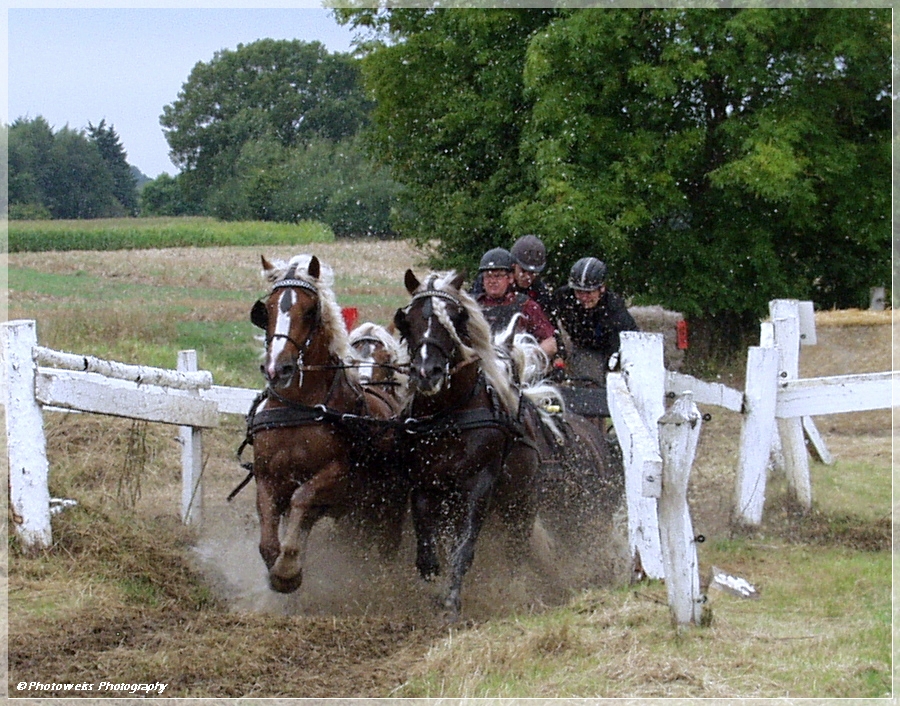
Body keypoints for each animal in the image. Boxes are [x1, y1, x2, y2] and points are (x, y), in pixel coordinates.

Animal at [244, 253, 402, 588]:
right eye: (269, 309)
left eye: (309, 310)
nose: (278, 368)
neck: (299, 407)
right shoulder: (266, 477)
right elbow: (268, 542)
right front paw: (282, 567)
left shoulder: (336, 476)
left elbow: (302, 498)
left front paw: (288, 568)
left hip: (389, 506)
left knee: (386, 545)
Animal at [394, 266, 540, 620]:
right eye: (408, 319)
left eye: (455, 318)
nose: (427, 373)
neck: (449, 414)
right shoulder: (424, 484)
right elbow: (428, 550)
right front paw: (433, 587)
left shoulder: (480, 484)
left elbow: (463, 548)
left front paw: (451, 602)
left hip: (521, 501)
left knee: (517, 547)